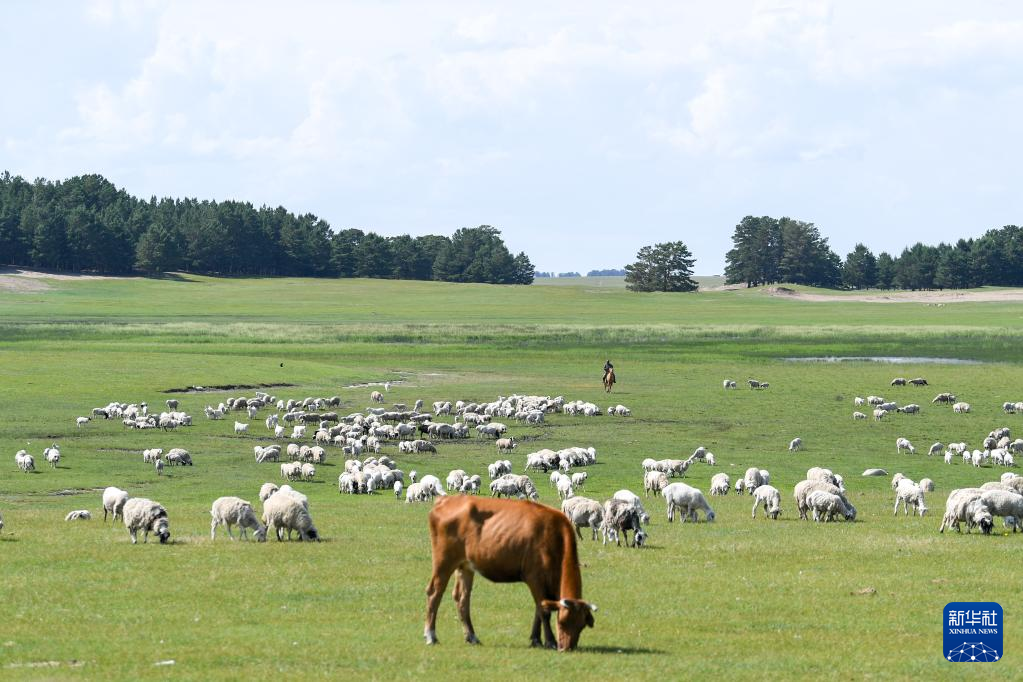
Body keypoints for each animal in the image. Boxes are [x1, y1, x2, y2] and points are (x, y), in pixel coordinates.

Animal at [424, 496, 596, 651]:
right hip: (444, 561)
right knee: (434, 592)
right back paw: (431, 635)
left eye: (582, 625)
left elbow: (538, 609)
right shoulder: (534, 578)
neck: (554, 536)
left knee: (462, 598)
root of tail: (446, 499)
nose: (567, 648)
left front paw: (536, 639)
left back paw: (472, 636)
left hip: (465, 566)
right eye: (563, 621)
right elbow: (544, 611)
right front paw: (550, 641)